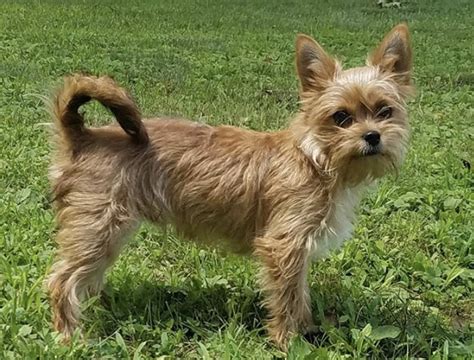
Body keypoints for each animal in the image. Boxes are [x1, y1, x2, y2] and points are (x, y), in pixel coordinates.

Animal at [46, 23, 412, 348]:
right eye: (341, 118)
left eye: (384, 111)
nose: (372, 136)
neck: (315, 158)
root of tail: (83, 136)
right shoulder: (283, 247)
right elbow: (287, 298)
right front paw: (287, 341)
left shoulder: (298, 253)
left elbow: (300, 294)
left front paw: (306, 328)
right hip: (98, 229)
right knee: (62, 281)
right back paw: (70, 336)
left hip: (106, 234)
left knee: (86, 277)